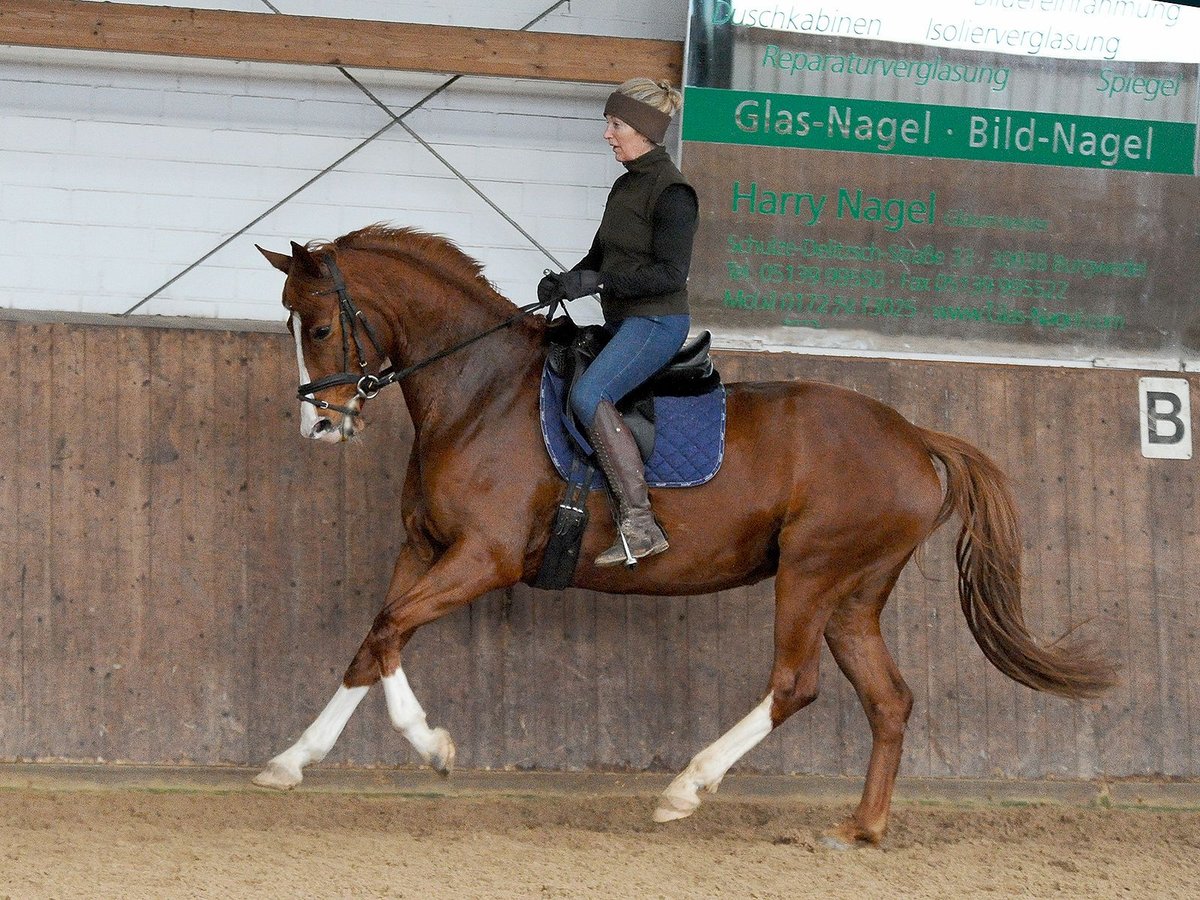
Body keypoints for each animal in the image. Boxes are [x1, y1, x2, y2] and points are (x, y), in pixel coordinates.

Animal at [255, 229, 1113, 849]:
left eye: (322, 325)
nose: (318, 425)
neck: (478, 392)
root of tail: (912, 435)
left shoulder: (481, 559)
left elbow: (390, 629)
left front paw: (432, 746)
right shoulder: (424, 550)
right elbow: (372, 643)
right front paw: (291, 762)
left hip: (811, 572)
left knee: (794, 685)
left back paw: (685, 790)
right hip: (853, 594)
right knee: (890, 700)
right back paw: (861, 829)